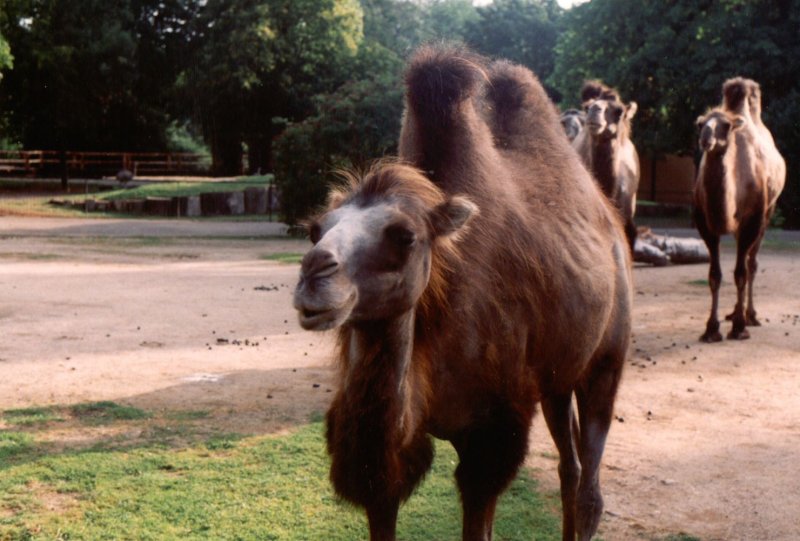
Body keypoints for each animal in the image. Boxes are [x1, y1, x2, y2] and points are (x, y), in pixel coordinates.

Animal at [692, 78, 788, 340]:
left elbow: (741, 272)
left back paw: (749, 316)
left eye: (725, 125)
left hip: (768, 212)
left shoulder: (752, 220)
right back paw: (735, 313)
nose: (705, 138)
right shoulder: (706, 225)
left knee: (750, 264)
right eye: (701, 123)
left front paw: (739, 327)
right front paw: (711, 329)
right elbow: (714, 275)